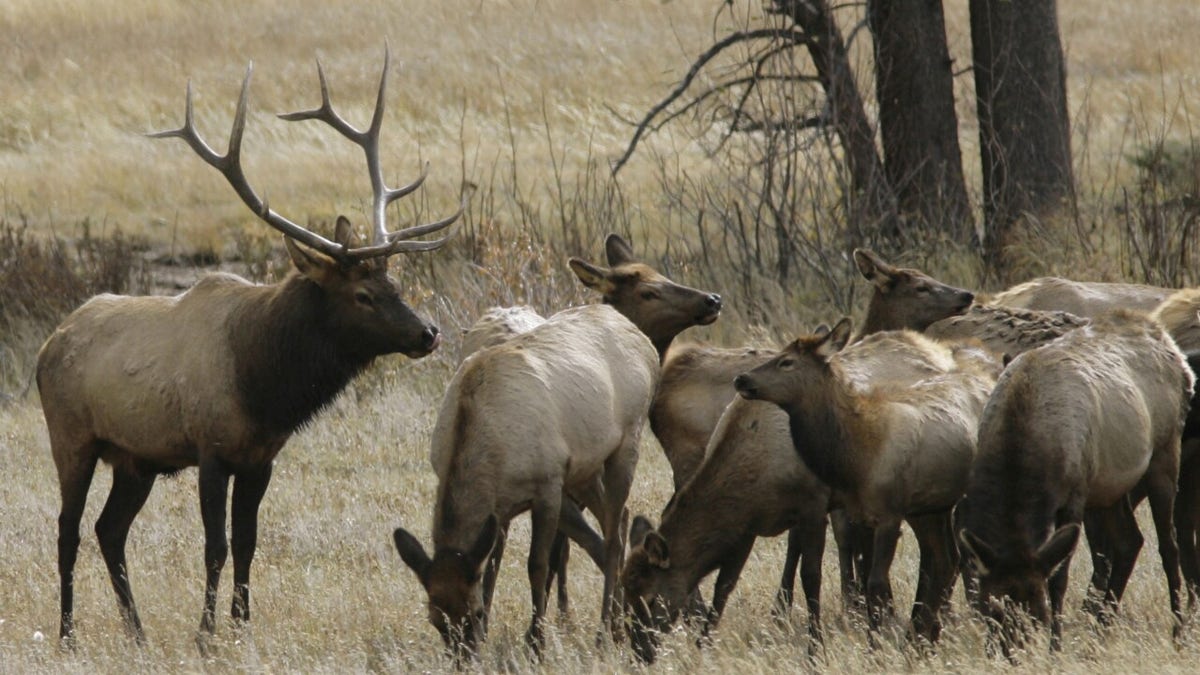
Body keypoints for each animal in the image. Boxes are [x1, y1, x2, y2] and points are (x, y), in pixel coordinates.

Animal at [955, 309, 1190, 653]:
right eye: (991, 608)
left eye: (1037, 613)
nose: (1012, 653)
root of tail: (1170, 344)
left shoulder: (1075, 494)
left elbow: (1059, 578)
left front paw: (1056, 647)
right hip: (1109, 486)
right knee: (1129, 541)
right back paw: (1101, 631)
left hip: (1164, 452)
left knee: (1169, 546)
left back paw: (1178, 632)